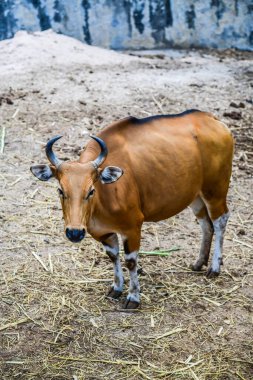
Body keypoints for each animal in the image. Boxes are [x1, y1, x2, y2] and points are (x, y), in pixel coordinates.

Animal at [30, 109, 234, 308]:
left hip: (215, 191)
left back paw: (214, 268)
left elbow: (130, 261)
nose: (74, 232)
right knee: (206, 224)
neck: (104, 197)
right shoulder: (104, 232)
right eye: (60, 190)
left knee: (220, 220)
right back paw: (199, 263)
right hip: (195, 195)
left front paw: (133, 297)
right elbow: (113, 256)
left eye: (91, 190)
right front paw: (116, 288)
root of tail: (213, 120)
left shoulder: (133, 227)